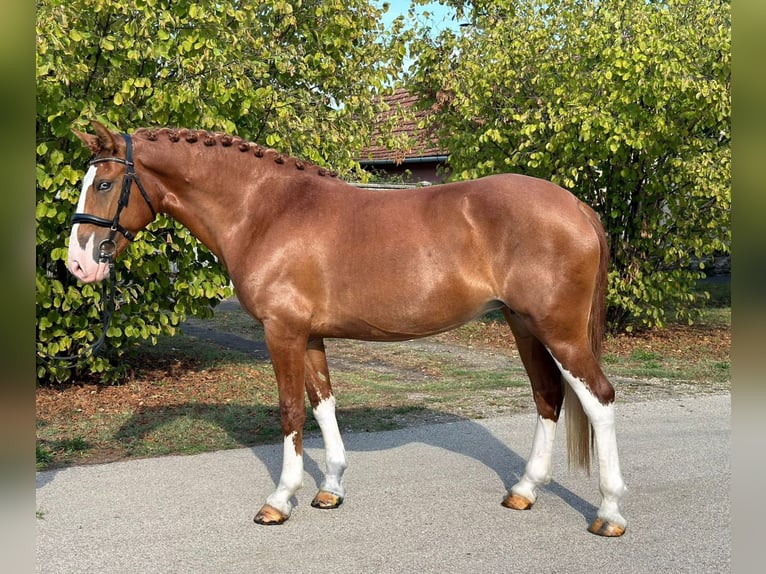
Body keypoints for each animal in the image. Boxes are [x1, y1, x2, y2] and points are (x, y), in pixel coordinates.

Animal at [66, 122, 628, 540]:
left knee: (599, 399)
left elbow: (291, 411)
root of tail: (576, 206)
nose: (77, 265)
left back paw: (609, 513)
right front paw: (329, 488)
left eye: (104, 184)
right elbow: (322, 404)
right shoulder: (309, 335)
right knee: (548, 395)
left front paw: (279, 500)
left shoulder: (283, 332)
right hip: (523, 325)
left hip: (560, 332)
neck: (266, 211)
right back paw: (525, 491)